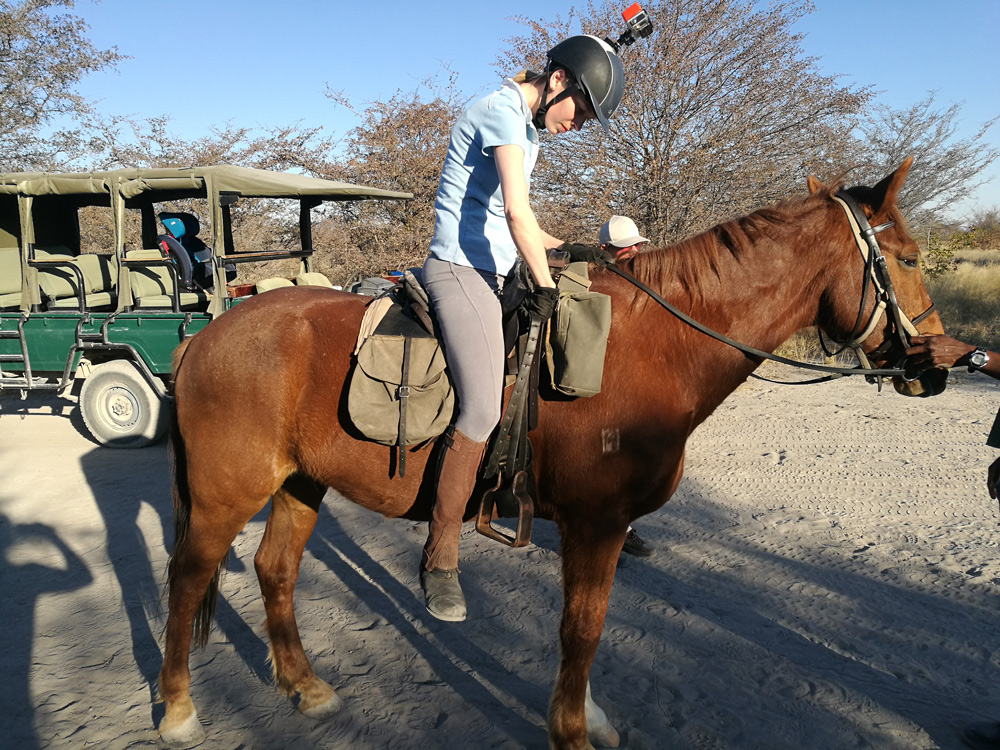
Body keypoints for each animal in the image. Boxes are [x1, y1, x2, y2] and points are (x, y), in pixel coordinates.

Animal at [154, 156, 944, 748]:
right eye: (907, 259)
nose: (939, 365)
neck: (648, 345)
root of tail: (208, 334)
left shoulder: (594, 528)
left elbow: (583, 628)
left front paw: (584, 716)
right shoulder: (597, 524)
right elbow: (582, 629)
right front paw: (570, 731)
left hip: (299, 483)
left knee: (275, 569)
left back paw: (305, 686)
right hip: (227, 493)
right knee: (187, 579)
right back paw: (178, 710)